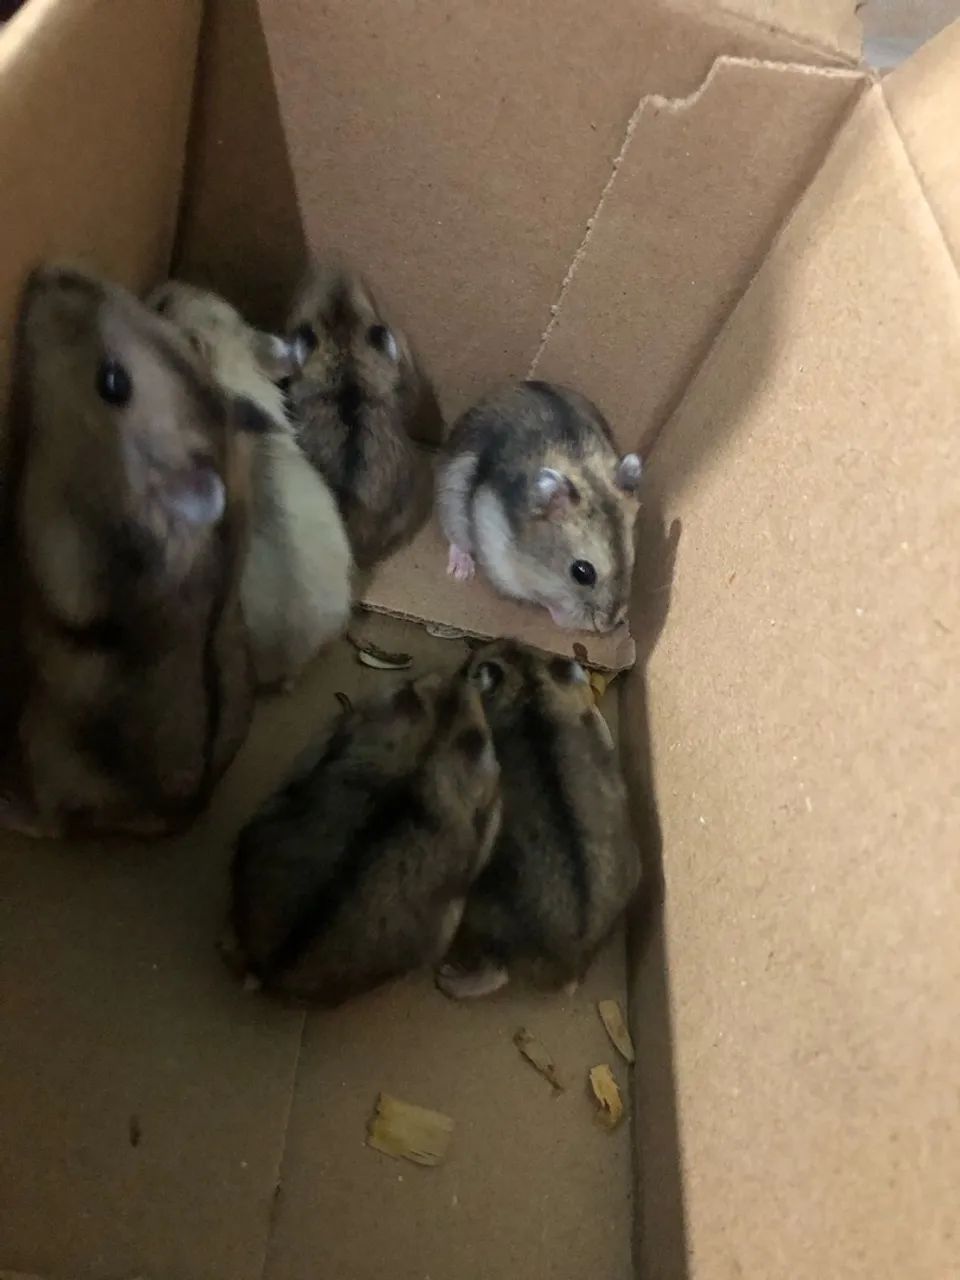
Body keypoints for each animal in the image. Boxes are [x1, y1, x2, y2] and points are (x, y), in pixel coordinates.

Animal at [3, 265, 258, 839]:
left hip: (43, 741)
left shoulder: (61, 549)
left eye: (113, 383)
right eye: (160, 319)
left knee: (49, 821)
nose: (45, 272)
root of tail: (178, 817)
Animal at [437, 380, 643, 632]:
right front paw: (563, 617)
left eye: (632, 561)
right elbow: (539, 598)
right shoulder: (499, 558)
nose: (607, 626)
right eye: (582, 573)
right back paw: (461, 572)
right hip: (451, 492)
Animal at [437, 640, 640, 998]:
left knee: (497, 971)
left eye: (468, 666)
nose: (462, 664)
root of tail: (571, 966)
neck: (528, 687)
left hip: (479, 907)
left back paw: (446, 977)